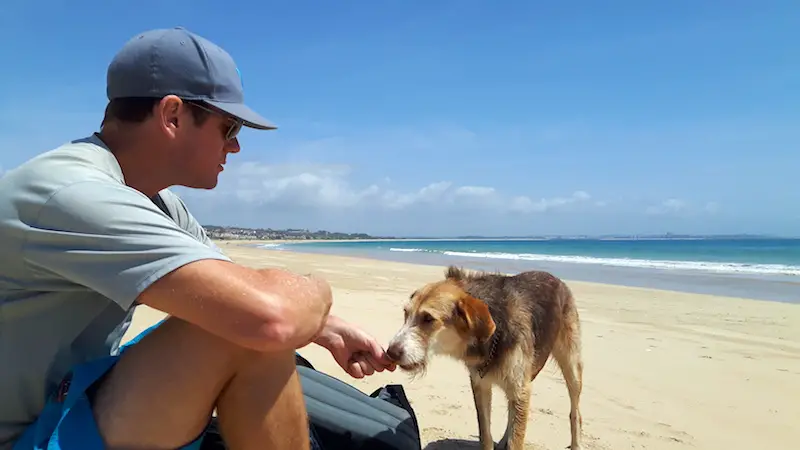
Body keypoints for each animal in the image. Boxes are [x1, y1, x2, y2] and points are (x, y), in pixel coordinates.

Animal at [386, 266, 580, 450]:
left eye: (428, 318)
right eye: (406, 313)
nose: (390, 352)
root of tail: (557, 279)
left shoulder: (520, 389)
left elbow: (516, 440)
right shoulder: (481, 385)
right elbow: (486, 434)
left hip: (571, 366)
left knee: (575, 412)